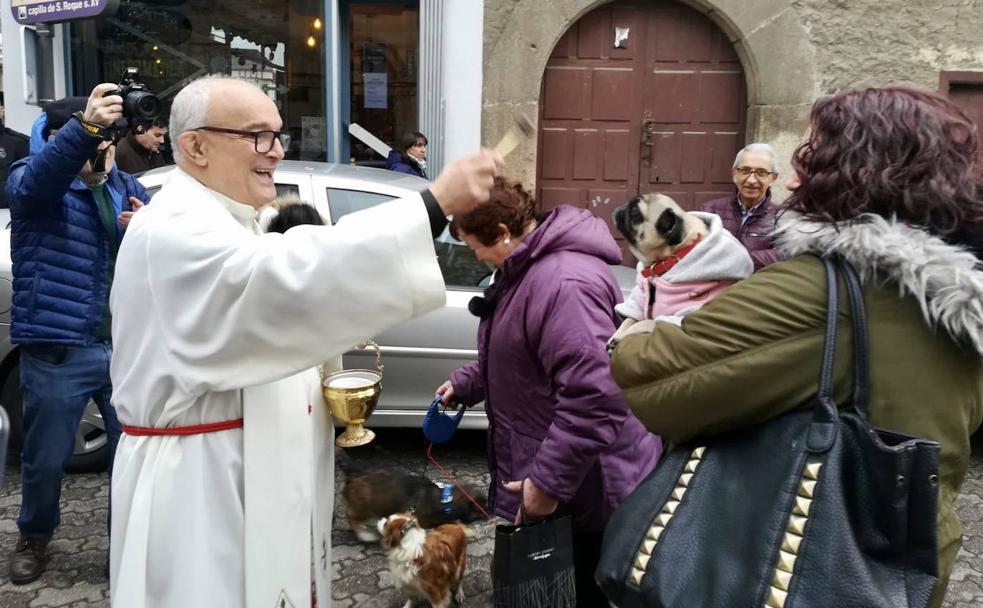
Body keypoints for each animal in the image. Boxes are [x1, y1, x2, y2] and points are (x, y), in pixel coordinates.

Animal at [608, 192, 752, 350]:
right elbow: (630, 319)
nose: (622, 208)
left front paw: (622, 336)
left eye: (635, 211)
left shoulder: (679, 318)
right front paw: (617, 334)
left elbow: (647, 322)